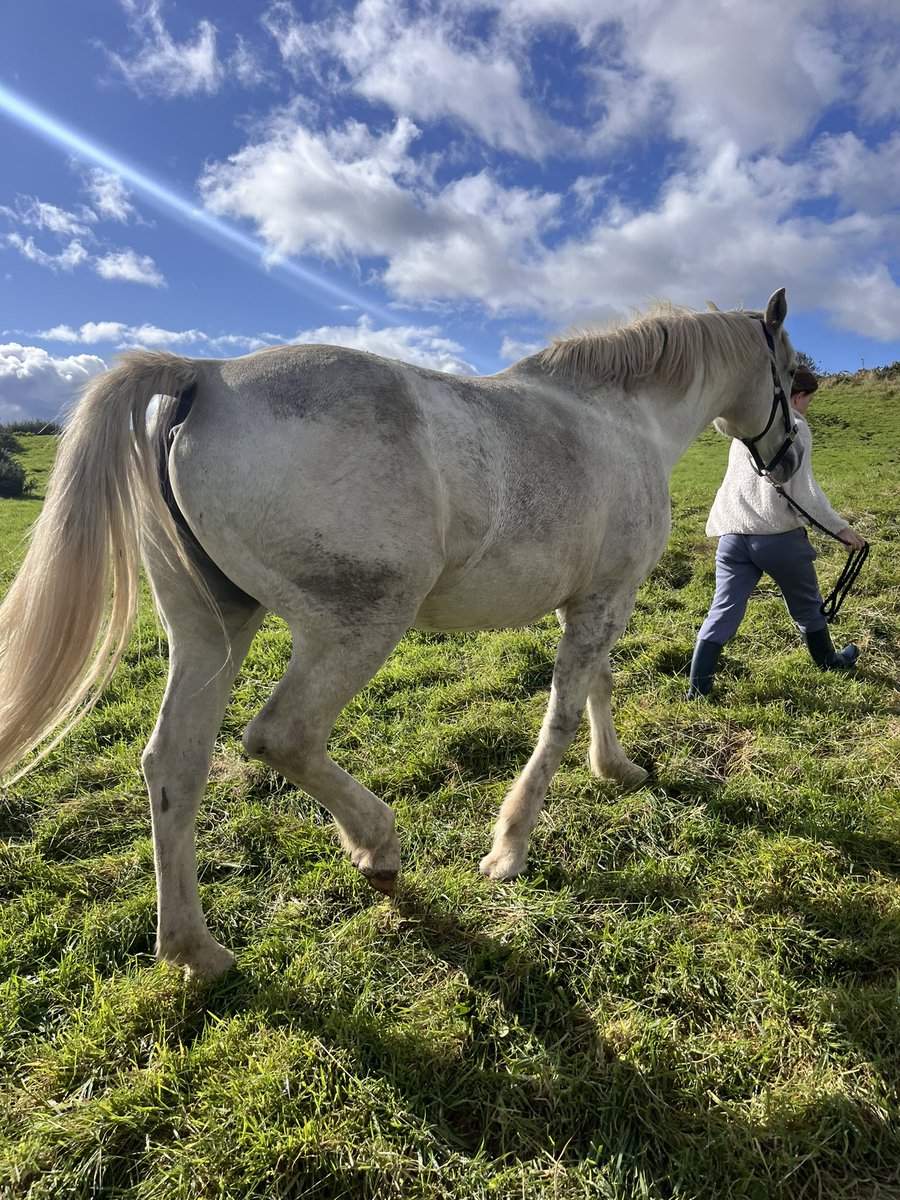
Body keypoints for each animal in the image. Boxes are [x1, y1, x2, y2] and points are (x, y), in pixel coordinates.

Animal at [0, 288, 802, 978]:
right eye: (794, 377)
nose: (789, 458)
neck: (621, 419)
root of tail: (210, 376)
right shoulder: (605, 597)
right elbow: (563, 715)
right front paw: (510, 848)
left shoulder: (593, 599)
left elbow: (596, 687)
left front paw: (617, 769)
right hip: (358, 625)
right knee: (282, 737)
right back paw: (376, 845)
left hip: (211, 630)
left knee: (174, 765)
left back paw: (197, 949)